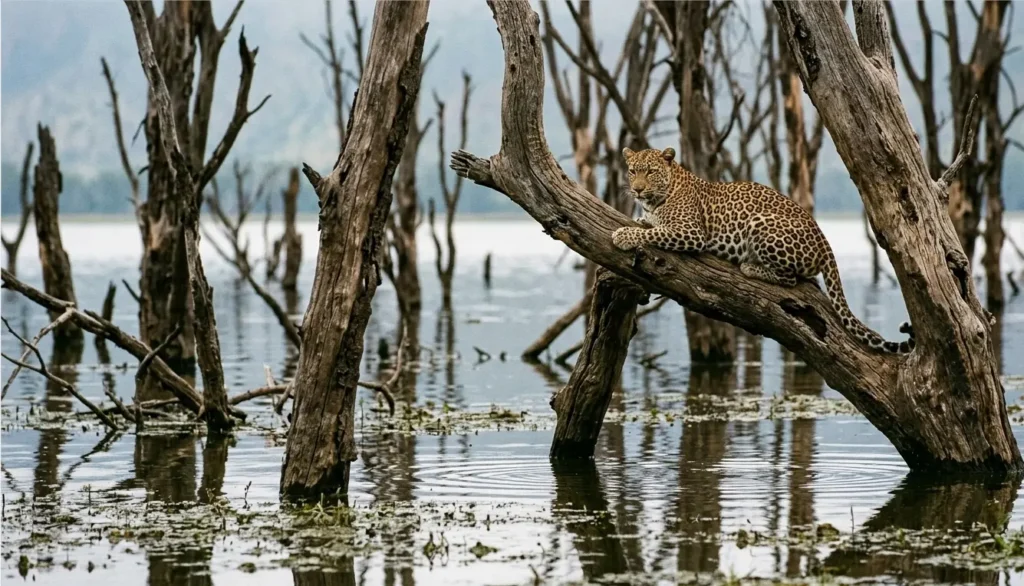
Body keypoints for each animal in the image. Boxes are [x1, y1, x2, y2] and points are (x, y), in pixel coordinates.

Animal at [611, 146, 914, 354]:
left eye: (650, 171)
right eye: (632, 171)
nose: (637, 189)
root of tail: (824, 240)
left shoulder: (691, 232)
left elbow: (654, 232)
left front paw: (623, 235)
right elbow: (649, 224)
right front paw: (638, 221)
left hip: (760, 223)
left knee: (791, 278)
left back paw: (750, 266)